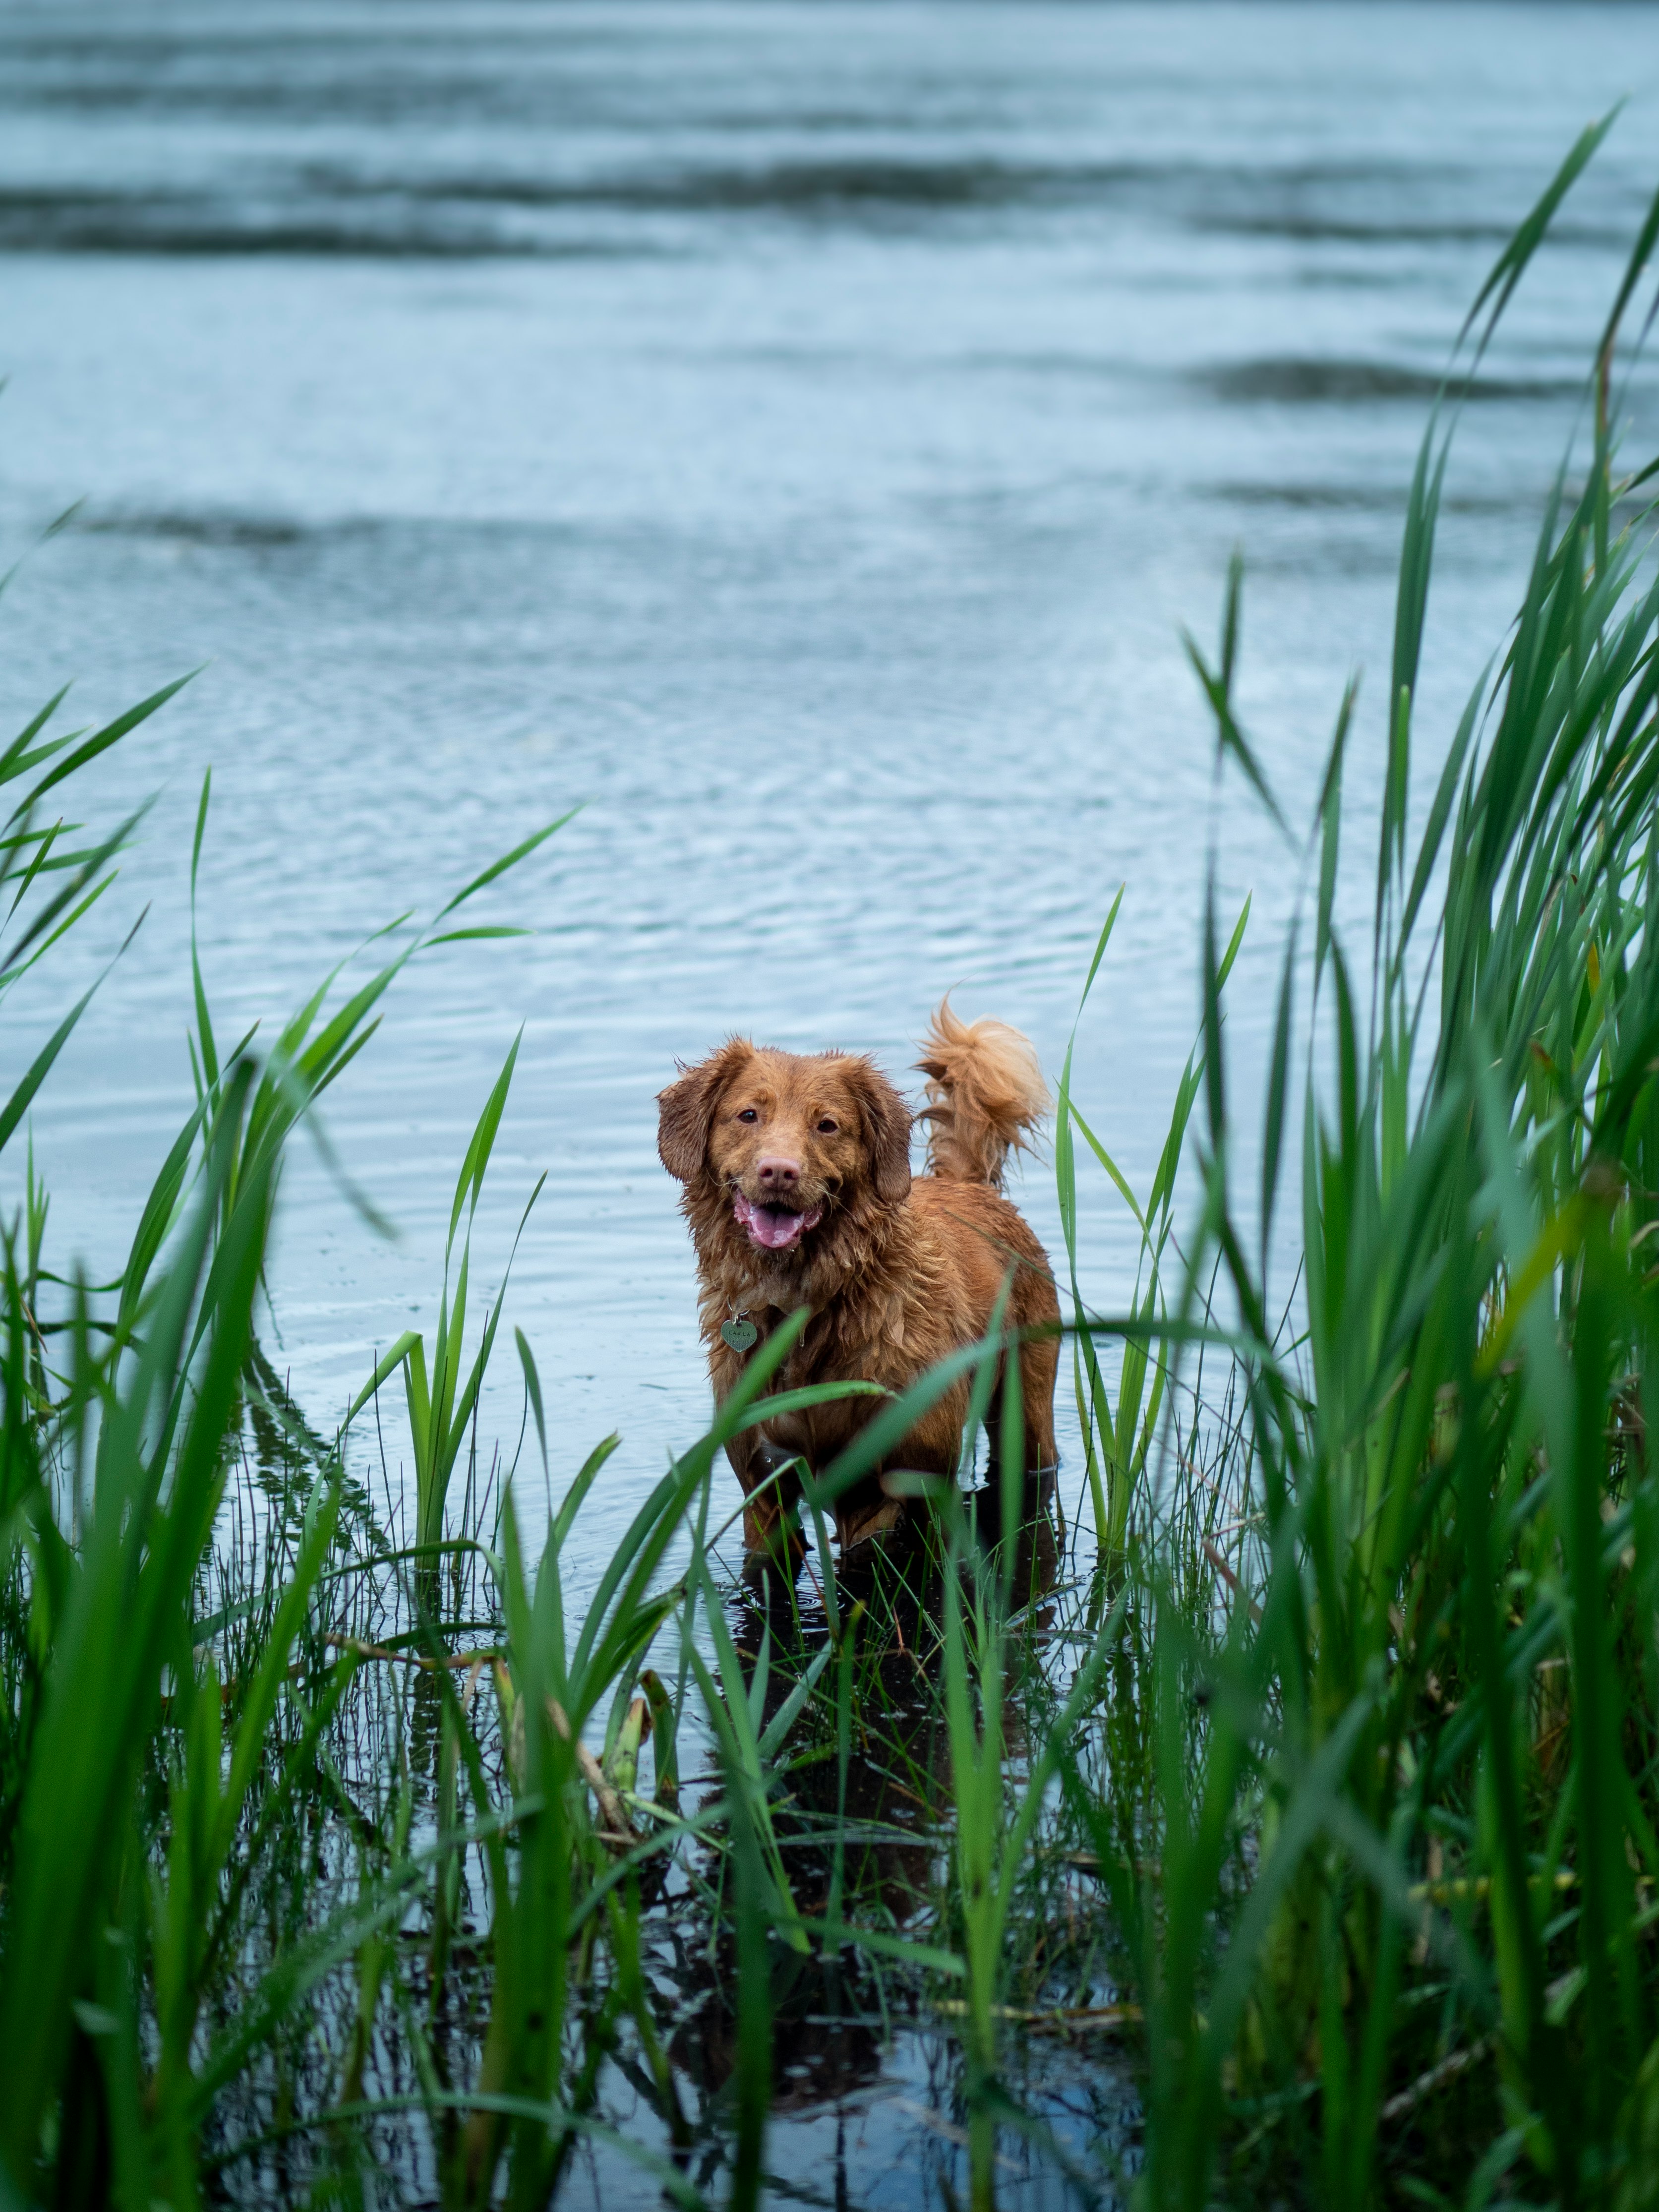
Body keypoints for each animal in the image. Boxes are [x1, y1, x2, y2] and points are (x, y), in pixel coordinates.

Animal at [654, 1004, 1057, 1557]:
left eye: (827, 1125)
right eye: (748, 1115)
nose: (778, 1171)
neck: (803, 1309)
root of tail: (967, 1186)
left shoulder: (900, 1485)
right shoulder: (762, 1487)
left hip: (1027, 1405)